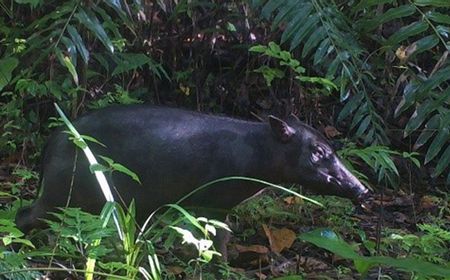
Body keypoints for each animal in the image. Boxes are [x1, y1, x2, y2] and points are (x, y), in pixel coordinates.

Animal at [16, 105, 370, 234]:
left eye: (332, 148)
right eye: (319, 151)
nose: (364, 190)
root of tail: (51, 141)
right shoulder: (212, 202)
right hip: (59, 196)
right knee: (24, 216)